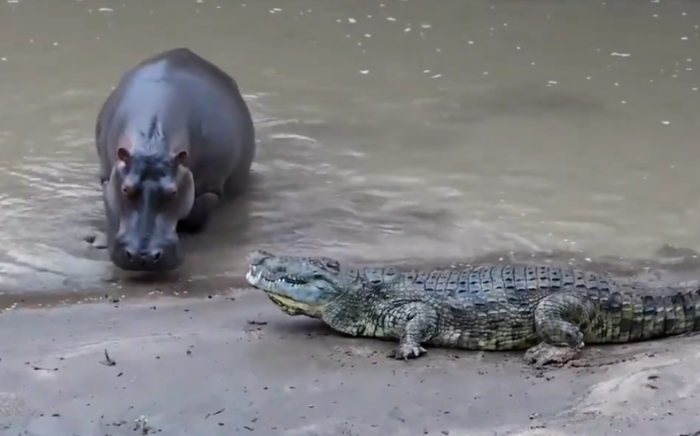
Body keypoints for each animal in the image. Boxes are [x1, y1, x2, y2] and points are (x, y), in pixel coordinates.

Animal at [95, 48, 256, 272]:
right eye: (126, 189)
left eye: (173, 192)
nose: (142, 256)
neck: (152, 147)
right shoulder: (108, 179)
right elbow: (112, 211)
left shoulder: (210, 189)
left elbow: (195, 215)